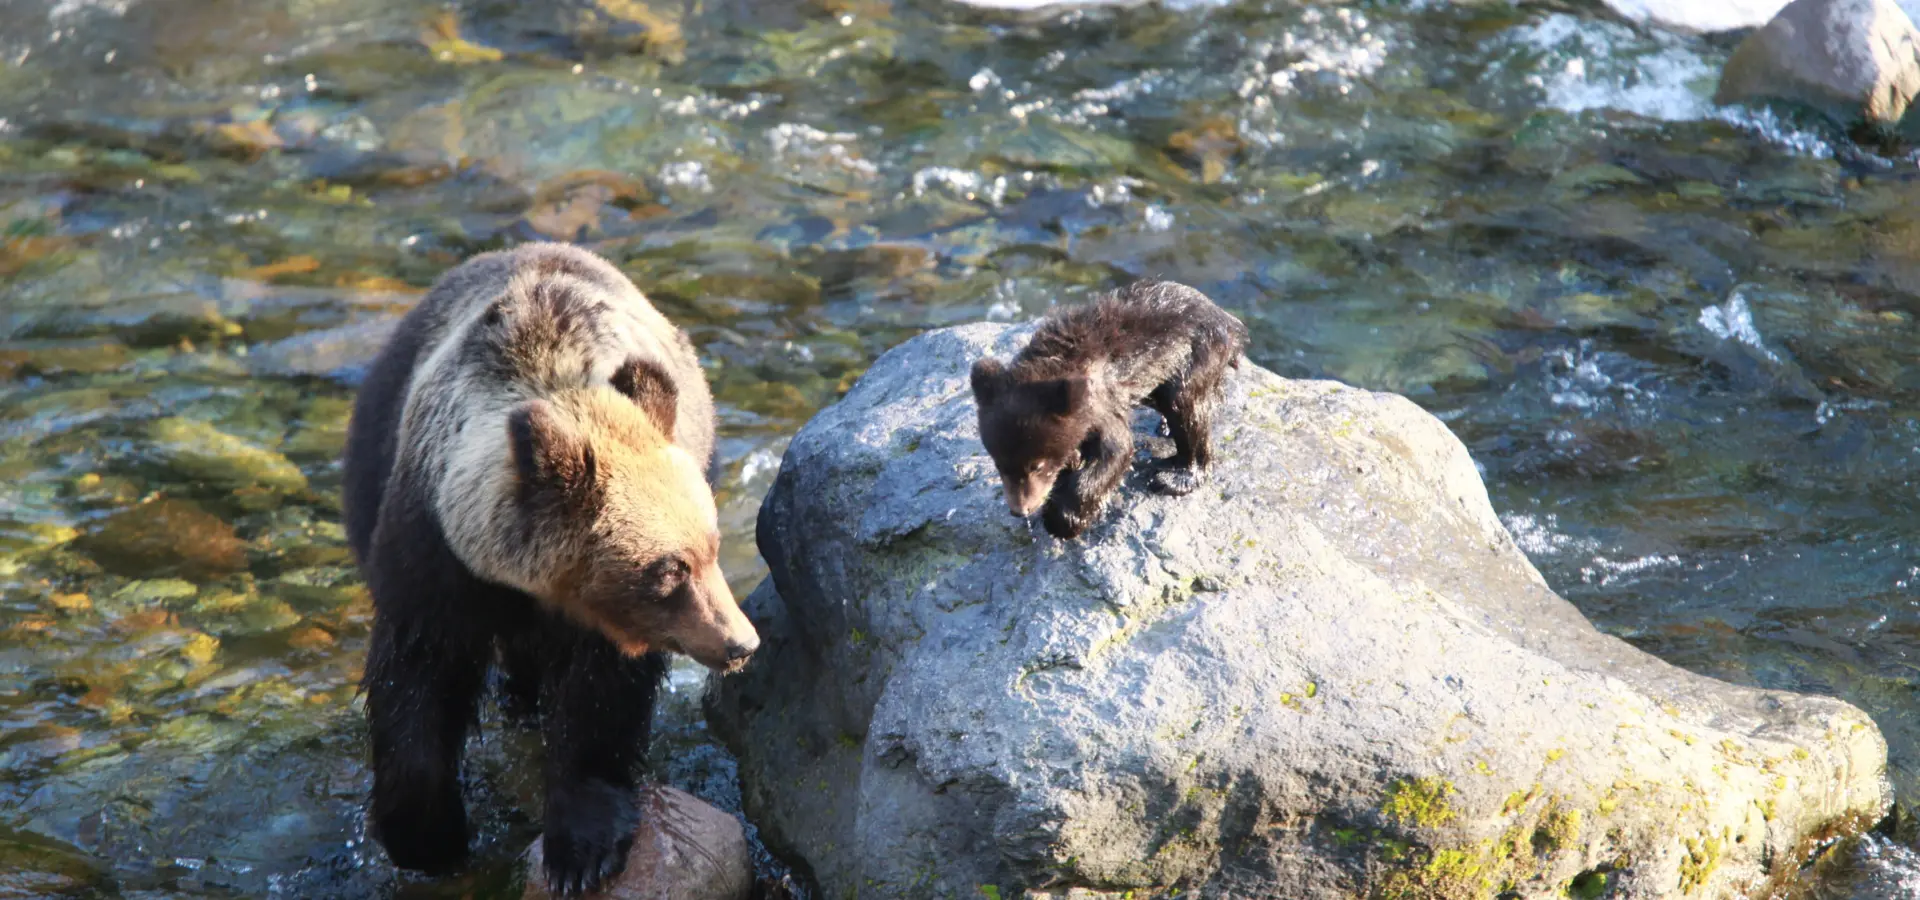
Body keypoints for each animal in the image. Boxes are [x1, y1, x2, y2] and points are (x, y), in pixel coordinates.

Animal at [342, 242, 759, 897]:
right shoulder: (432, 553)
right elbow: (414, 677)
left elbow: (600, 701)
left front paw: (581, 849)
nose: (740, 642)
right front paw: (425, 833)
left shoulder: (603, 624)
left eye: (712, 547)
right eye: (671, 569)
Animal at [969, 279, 1248, 540]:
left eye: (1037, 466)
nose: (1020, 509)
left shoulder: (1101, 404)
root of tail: (1229, 320)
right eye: (999, 464)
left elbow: (1116, 451)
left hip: (1196, 354)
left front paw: (1064, 519)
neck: (1053, 366)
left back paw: (1176, 476)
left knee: (1187, 407)